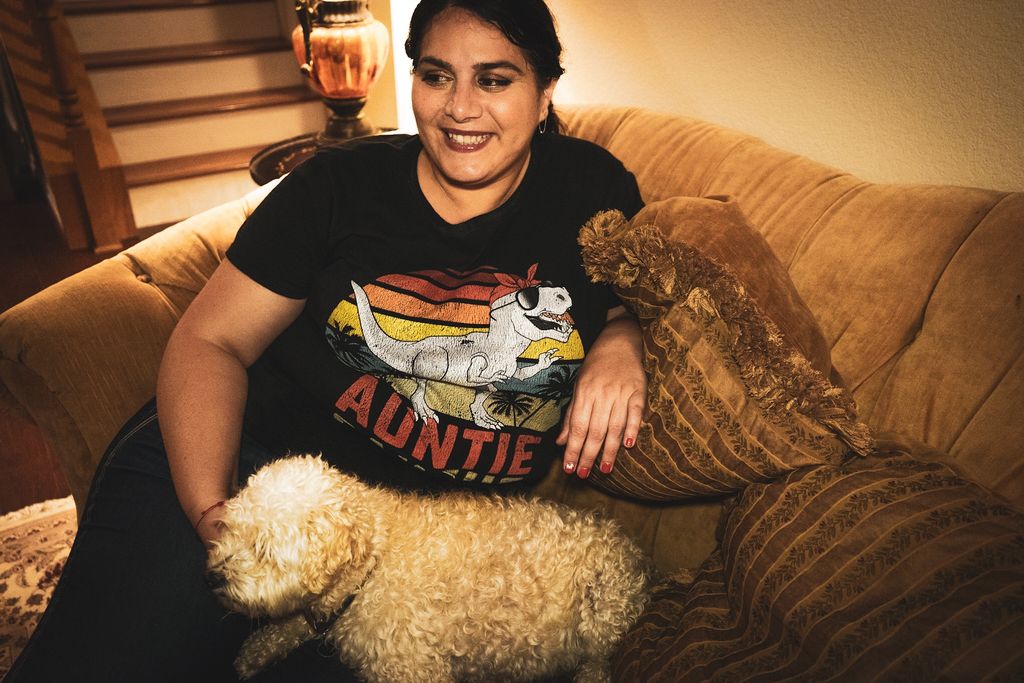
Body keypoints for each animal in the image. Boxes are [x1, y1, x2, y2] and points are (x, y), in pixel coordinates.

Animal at [206, 455, 651, 682]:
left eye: (263, 549)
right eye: (229, 526)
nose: (213, 576)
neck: (375, 560)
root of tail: (633, 553)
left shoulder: (414, 669)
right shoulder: (321, 609)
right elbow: (290, 624)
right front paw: (257, 650)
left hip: (604, 612)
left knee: (597, 665)